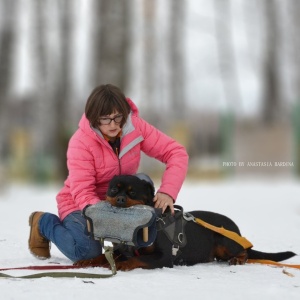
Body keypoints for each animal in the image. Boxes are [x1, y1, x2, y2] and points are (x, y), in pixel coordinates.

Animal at [74, 175, 296, 270]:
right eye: (113, 190)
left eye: (132, 193)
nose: (120, 200)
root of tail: (237, 230)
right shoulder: (122, 250)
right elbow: (104, 256)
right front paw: (88, 261)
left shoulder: (163, 258)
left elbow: (139, 259)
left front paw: (123, 264)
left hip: (225, 242)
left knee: (246, 252)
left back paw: (238, 260)